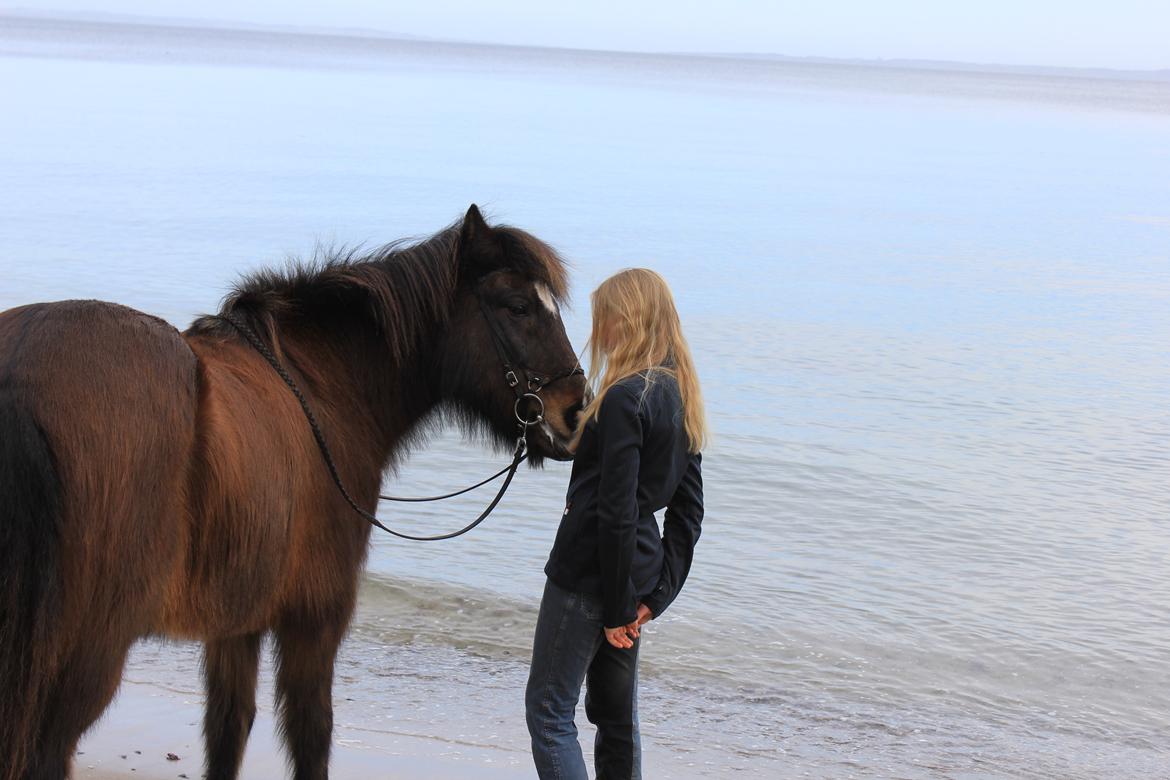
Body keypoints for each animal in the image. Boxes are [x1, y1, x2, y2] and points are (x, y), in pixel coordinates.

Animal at [0, 205, 585, 780]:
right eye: (518, 307)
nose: (575, 412)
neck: (321, 389)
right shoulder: (314, 619)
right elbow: (310, 734)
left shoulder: (236, 624)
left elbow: (228, 730)